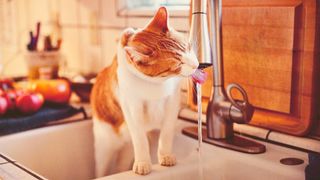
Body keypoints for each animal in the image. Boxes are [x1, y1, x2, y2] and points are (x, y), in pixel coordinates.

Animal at [90, 7, 198, 177]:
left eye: (187, 47)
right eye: (177, 64)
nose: (196, 65)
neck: (155, 85)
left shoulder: (172, 103)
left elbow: (166, 133)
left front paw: (166, 156)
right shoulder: (132, 109)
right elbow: (140, 140)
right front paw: (143, 163)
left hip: (126, 150)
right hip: (104, 147)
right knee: (102, 167)